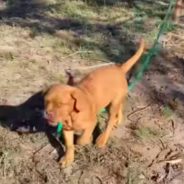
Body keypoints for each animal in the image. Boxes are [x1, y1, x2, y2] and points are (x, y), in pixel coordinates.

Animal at [43, 39, 144, 168]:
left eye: (61, 104)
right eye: (46, 101)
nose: (47, 114)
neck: (72, 115)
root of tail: (119, 69)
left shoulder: (92, 122)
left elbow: (82, 139)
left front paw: (86, 139)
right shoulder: (67, 129)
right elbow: (70, 145)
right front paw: (68, 159)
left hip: (113, 105)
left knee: (110, 121)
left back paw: (102, 139)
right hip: (113, 101)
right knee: (119, 108)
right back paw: (118, 120)